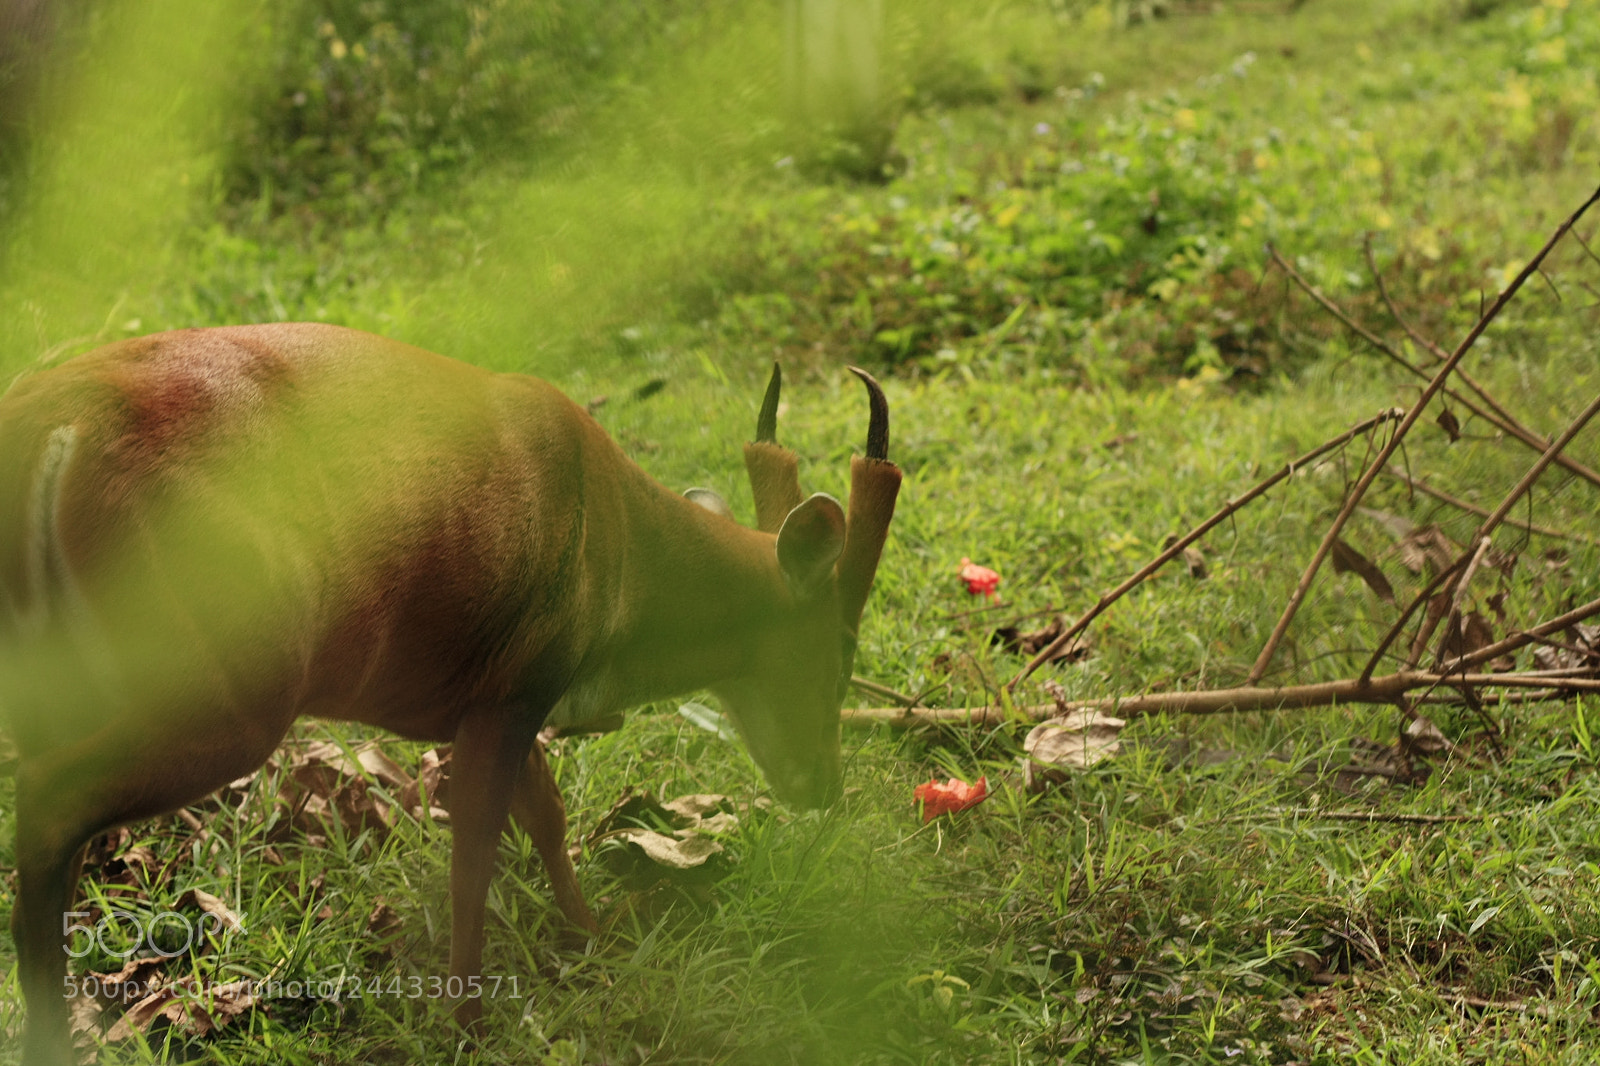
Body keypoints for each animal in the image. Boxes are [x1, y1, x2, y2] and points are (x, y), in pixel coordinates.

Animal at [0, 323, 901, 1066]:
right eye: (841, 649)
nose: (825, 789)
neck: (623, 568)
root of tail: (51, 432)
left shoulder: (495, 691)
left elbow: (546, 814)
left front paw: (592, 935)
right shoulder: (519, 681)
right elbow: (477, 846)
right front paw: (470, 1021)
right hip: (231, 675)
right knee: (45, 806)